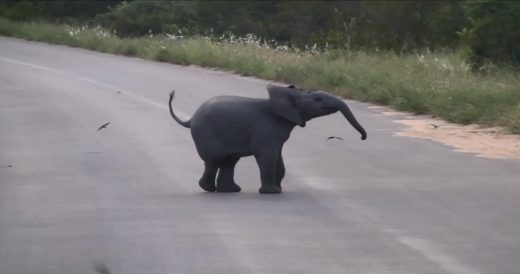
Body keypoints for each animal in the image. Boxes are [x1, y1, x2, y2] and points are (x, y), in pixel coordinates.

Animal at [168, 84, 366, 194]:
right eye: (318, 99)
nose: (363, 137)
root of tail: (190, 119)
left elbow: (278, 157)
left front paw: (278, 190)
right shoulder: (266, 129)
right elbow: (267, 155)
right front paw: (272, 193)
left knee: (229, 161)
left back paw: (230, 190)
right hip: (206, 133)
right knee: (215, 160)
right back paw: (208, 189)